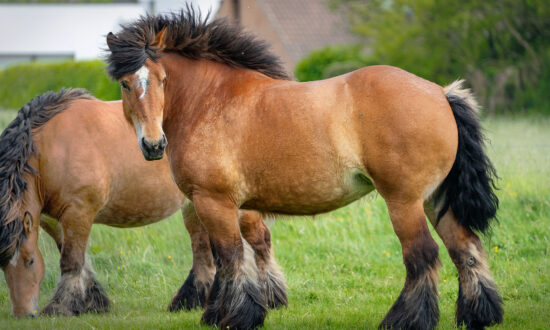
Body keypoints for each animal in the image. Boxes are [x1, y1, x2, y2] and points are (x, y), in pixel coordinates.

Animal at [0, 89, 284, 318]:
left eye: (30, 261)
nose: (23, 314)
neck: (53, 146)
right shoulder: (53, 219)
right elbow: (78, 260)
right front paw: (93, 302)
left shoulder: (78, 212)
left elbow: (71, 261)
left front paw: (61, 308)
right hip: (197, 206)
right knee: (203, 251)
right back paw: (191, 301)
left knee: (259, 241)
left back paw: (273, 297)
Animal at [106, 10, 504, 330]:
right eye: (125, 83)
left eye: (162, 80)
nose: (153, 145)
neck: (210, 101)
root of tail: (440, 93)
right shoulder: (228, 206)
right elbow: (232, 257)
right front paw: (221, 313)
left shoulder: (213, 202)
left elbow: (230, 257)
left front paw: (237, 316)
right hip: (436, 199)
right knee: (464, 248)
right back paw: (479, 315)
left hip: (404, 202)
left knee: (423, 256)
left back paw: (405, 320)